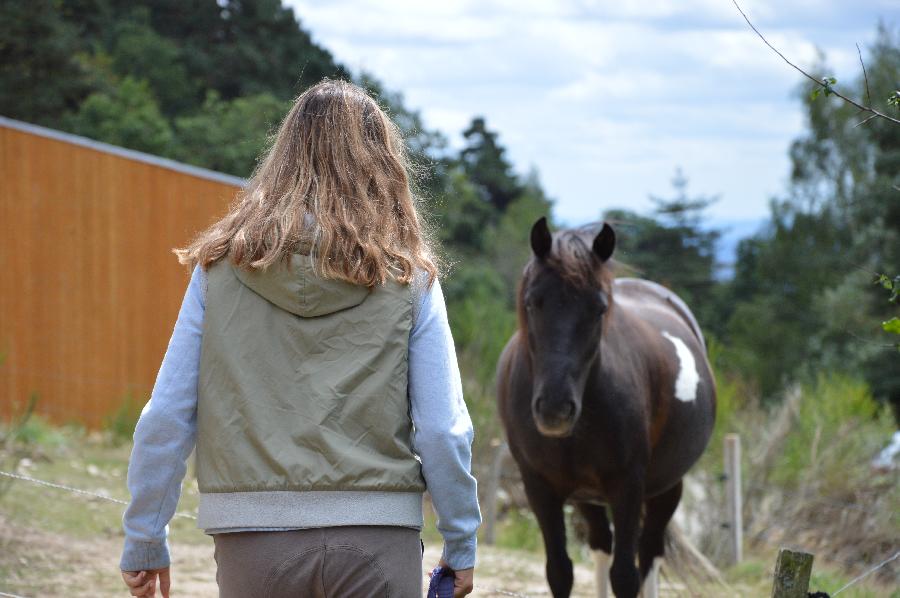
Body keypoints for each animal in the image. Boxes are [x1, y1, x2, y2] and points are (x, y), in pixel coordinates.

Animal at [496, 220, 712, 598]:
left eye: (598, 309)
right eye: (533, 302)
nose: (555, 409)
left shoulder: (628, 486)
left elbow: (625, 575)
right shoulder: (540, 487)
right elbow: (559, 571)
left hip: (667, 488)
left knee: (650, 552)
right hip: (588, 497)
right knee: (601, 545)